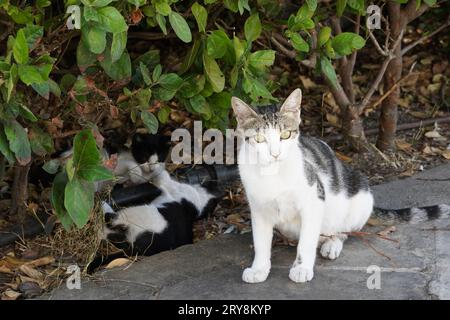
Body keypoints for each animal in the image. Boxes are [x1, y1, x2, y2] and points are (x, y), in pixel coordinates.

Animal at [232, 89, 372, 284]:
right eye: (259, 138)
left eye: (285, 135)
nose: (275, 154)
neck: (272, 173)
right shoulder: (258, 208)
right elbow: (260, 242)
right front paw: (259, 269)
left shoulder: (314, 199)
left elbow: (307, 240)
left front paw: (301, 268)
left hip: (362, 199)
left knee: (343, 230)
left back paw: (332, 243)